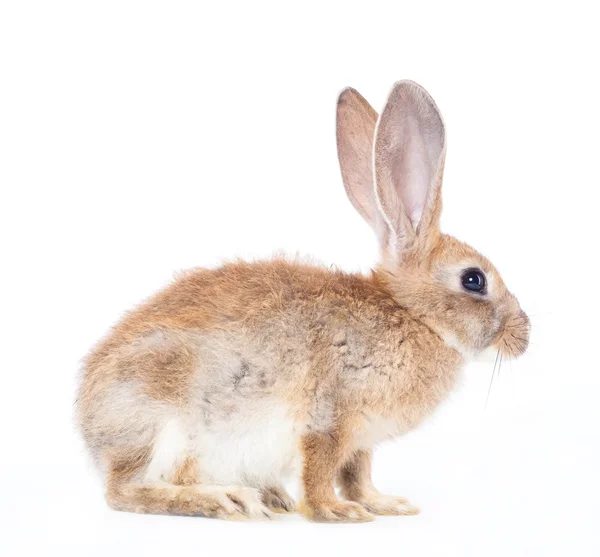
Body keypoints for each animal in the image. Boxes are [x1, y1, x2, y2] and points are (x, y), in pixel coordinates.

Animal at [77, 79, 532, 520]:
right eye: (474, 280)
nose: (524, 335)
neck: (415, 317)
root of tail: (90, 429)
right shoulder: (331, 416)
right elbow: (321, 470)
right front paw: (337, 511)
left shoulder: (362, 439)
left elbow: (358, 473)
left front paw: (385, 504)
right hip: (161, 424)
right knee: (125, 491)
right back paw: (225, 499)